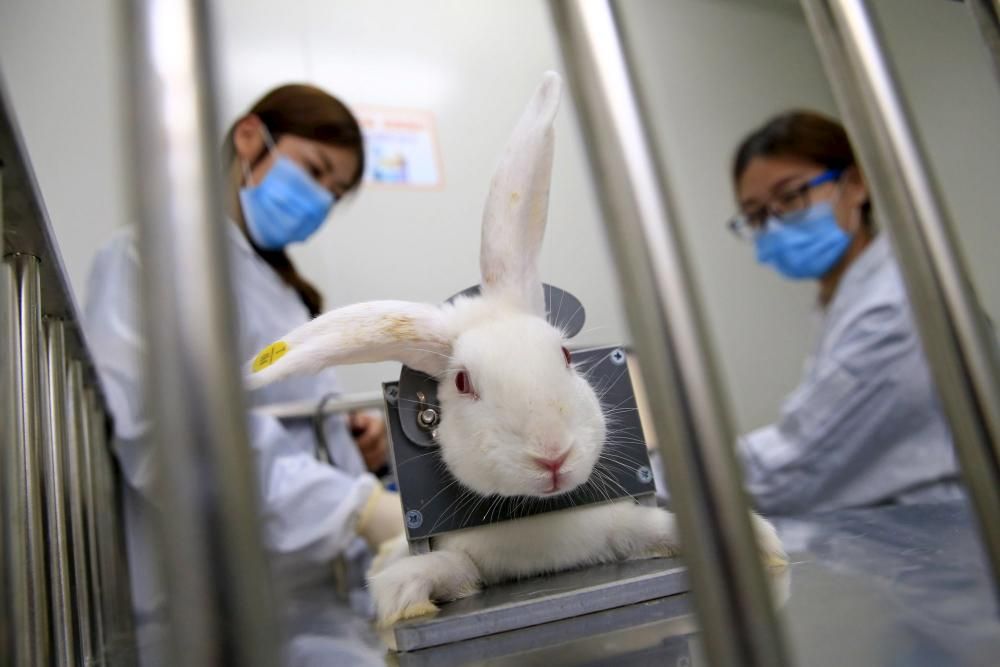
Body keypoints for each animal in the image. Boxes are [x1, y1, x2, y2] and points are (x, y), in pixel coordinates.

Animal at [246, 72, 784, 628]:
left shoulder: (620, 522)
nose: (552, 456)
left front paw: (763, 546)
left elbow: (655, 528)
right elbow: (443, 570)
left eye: (565, 357)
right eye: (464, 382)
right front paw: (403, 598)